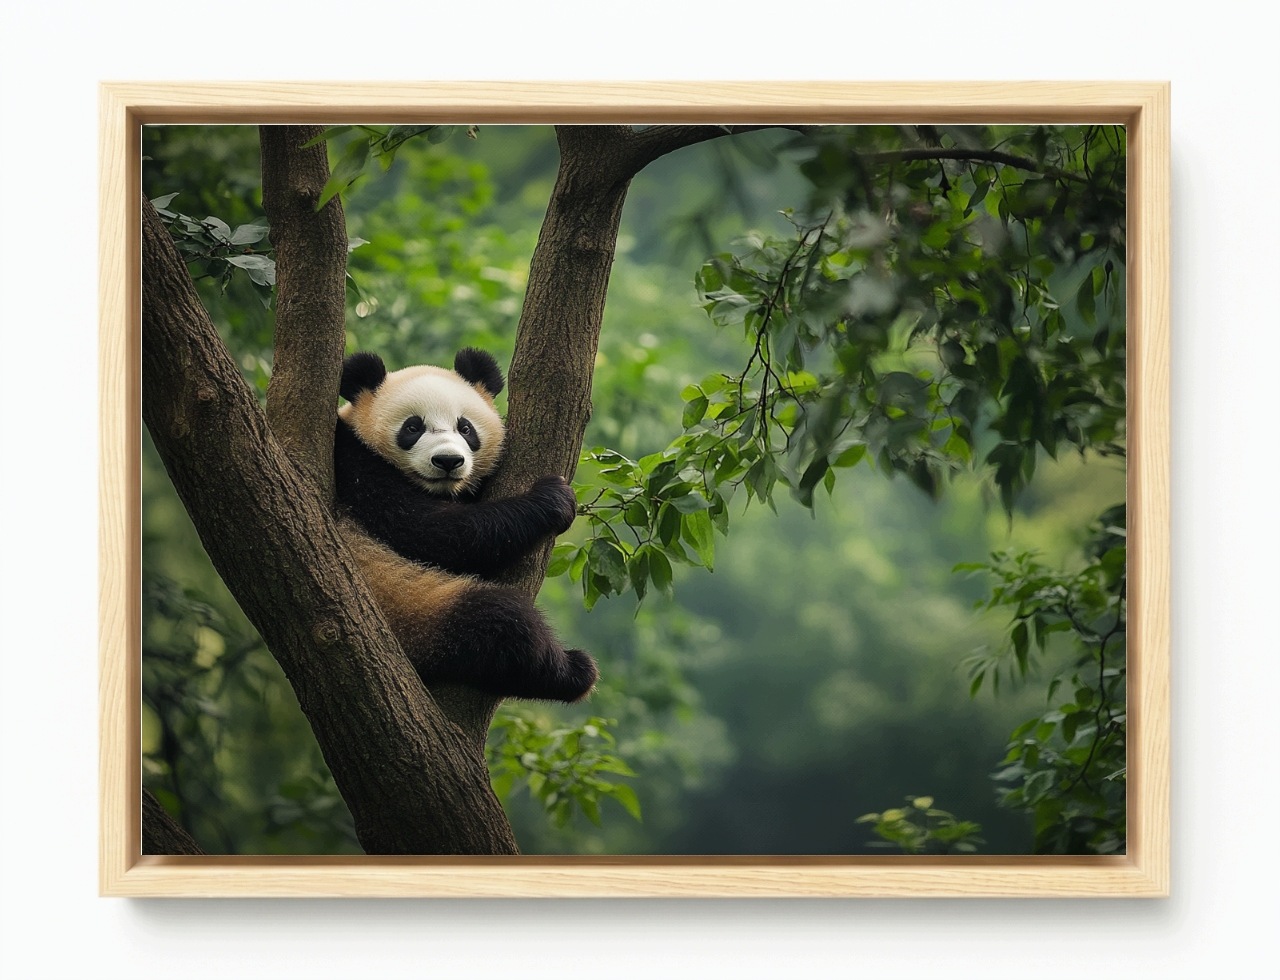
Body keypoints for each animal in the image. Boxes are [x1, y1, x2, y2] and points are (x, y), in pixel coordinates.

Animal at [333, 347, 598, 703]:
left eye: (465, 428)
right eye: (412, 427)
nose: (448, 461)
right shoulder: (353, 468)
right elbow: (436, 533)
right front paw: (551, 499)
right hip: (416, 613)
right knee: (502, 623)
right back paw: (574, 671)